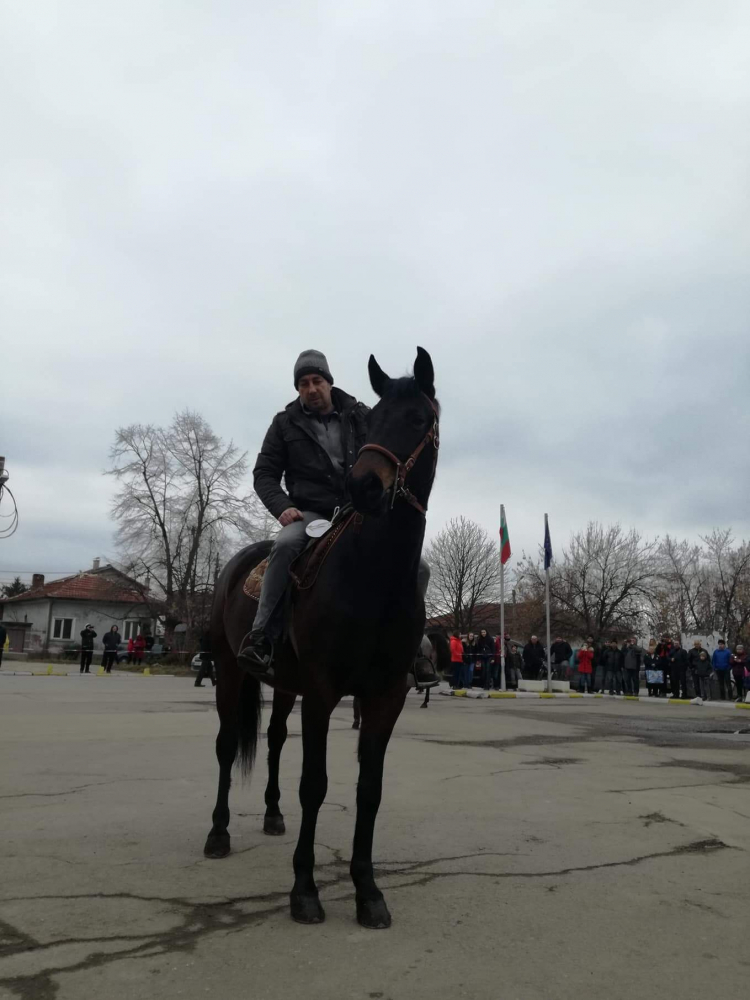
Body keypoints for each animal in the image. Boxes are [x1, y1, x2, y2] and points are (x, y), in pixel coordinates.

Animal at [206, 350, 440, 928]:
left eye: (418, 419)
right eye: (372, 423)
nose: (364, 488)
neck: (374, 576)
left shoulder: (385, 695)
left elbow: (369, 789)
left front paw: (367, 891)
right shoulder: (322, 690)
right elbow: (315, 785)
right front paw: (305, 890)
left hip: (285, 686)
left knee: (272, 742)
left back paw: (271, 814)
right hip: (230, 671)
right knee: (226, 745)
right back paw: (218, 833)